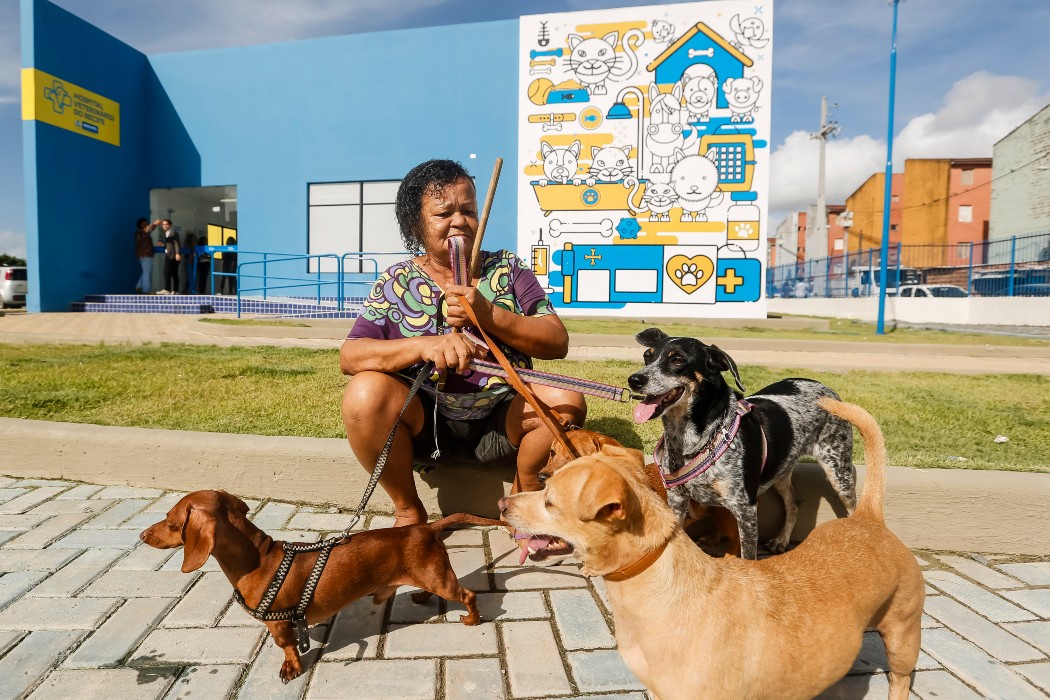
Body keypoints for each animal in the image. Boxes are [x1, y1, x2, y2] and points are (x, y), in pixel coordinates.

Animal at [143, 491, 503, 680]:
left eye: (171, 522)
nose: (143, 535)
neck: (259, 559)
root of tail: (426, 529)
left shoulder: (280, 624)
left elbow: (287, 646)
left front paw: (291, 668)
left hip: (442, 580)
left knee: (468, 595)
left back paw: (471, 619)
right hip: (430, 575)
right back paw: (420, 598)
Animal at [503, 398, 923, 700]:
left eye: (550, 500)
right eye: (549, 456)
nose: (502, 504)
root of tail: (868, 518)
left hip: (903, 635)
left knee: (900, 679)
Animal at [625, 329, 856, 562]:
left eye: (678, 360)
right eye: (647, 356)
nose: (634, 379)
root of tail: (826, 389)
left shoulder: (745, 509)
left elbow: (747, 556)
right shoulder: (677, 501)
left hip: (838, 472)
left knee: (852, 509)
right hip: (780, 471)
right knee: (793, 503)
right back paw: (781, 540)